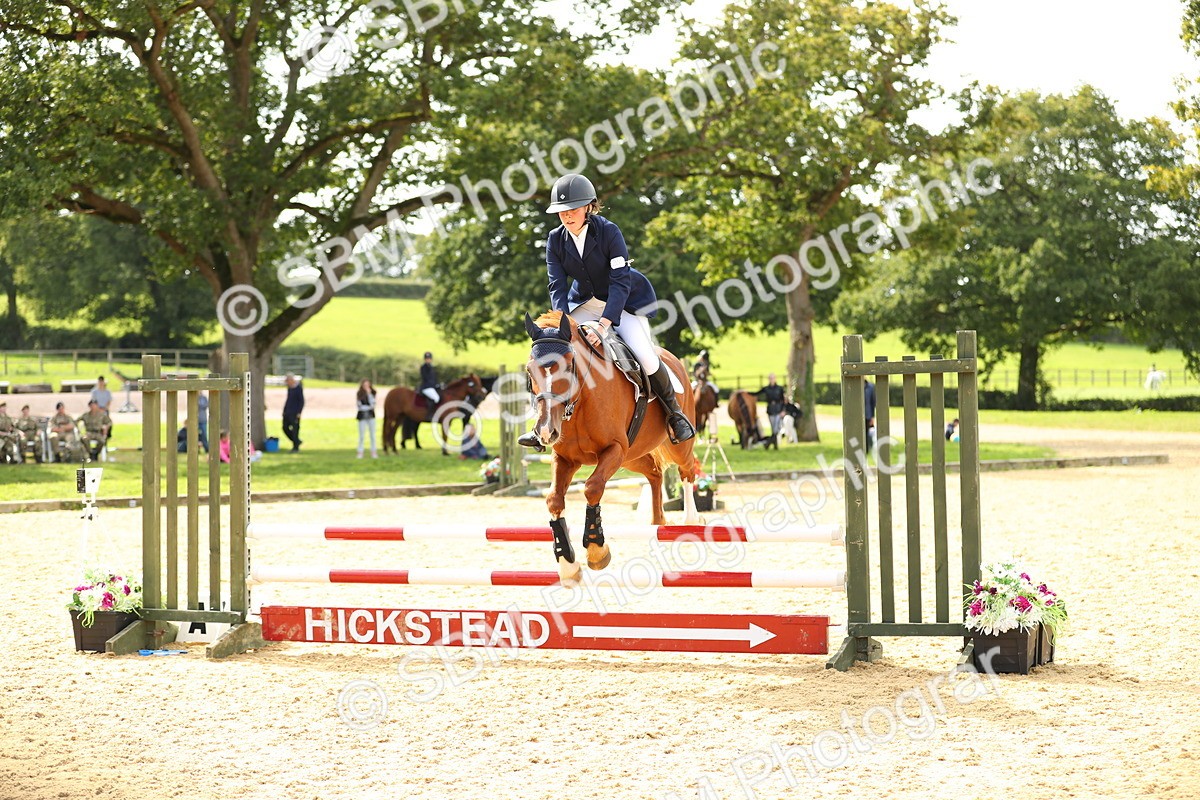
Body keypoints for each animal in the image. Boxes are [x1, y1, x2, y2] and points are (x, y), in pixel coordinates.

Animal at [524, 311, 701, 582]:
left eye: (568, 365)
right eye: (529, 370)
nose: (545, 431)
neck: (580, 403)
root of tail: (673, 359)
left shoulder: (615, 449)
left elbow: (592, 487)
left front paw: (596, 550)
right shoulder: (564, 458)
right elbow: (554, 499)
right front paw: (567, 565)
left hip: (674, 447)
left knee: (687, 470)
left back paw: (690, 520)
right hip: (633, 456)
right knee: (654, 473)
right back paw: (658, 521)